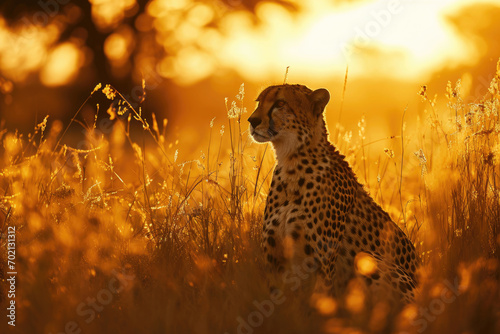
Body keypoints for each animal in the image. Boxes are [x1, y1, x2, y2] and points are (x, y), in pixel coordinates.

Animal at [247, 85, 418, 306]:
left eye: (280, 103)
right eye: (259, 102)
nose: (252, 120)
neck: (291, 161)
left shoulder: (321, 264)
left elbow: (319, 302)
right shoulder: (274, 264)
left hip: (372, 258)